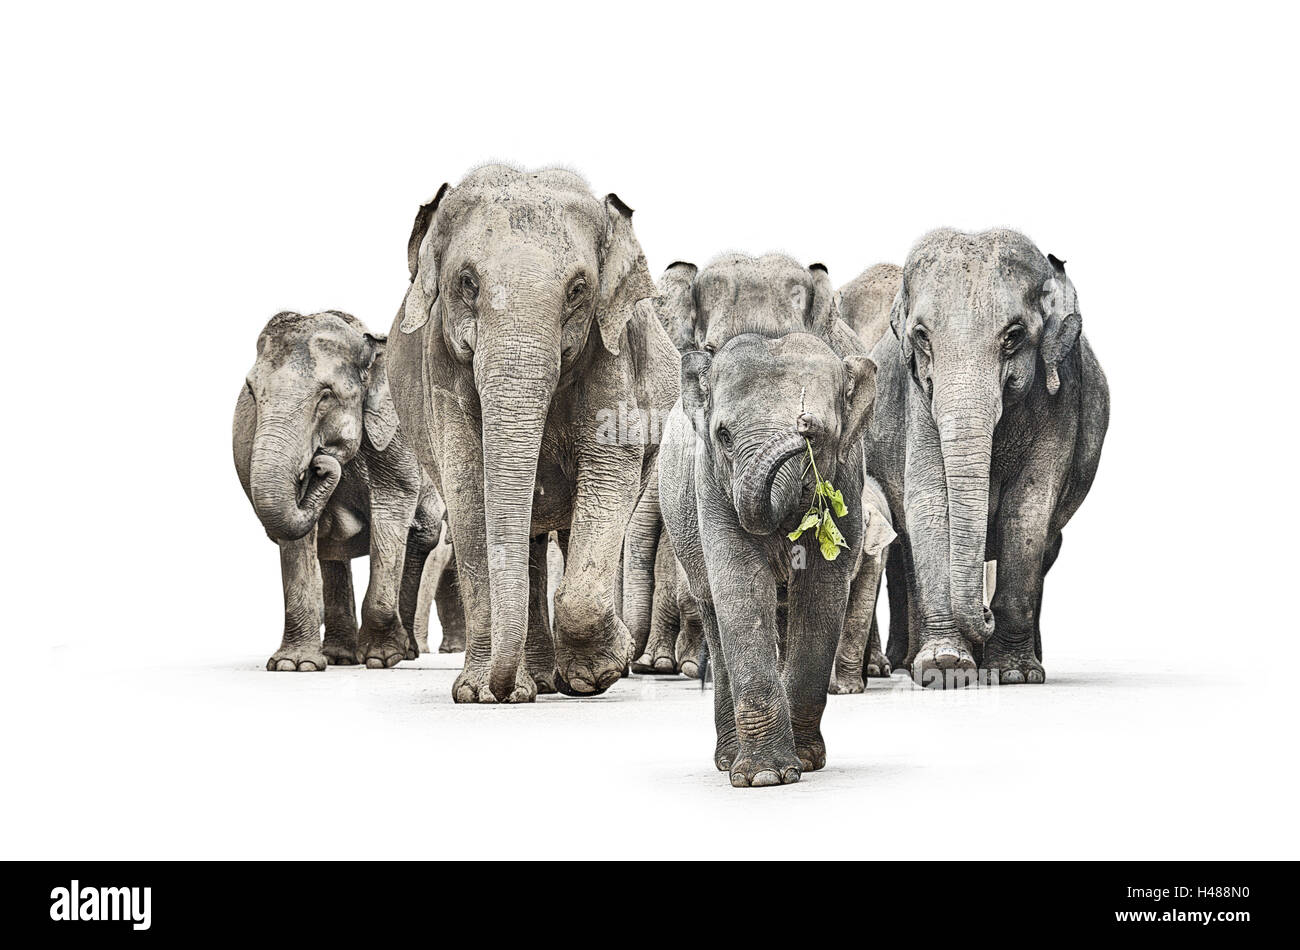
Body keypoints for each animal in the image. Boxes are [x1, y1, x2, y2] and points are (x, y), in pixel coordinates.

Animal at [226, 310, 444, 670]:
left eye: (325, 395)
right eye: (252, 394)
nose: (320, 464)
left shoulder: (396, 436)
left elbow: (393, 511)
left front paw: (382, 658)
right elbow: (300, 536)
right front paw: (294, 665)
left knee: (423, 534)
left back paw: (405, 652)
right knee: (333, 548)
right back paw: (341, 656)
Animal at [387, 163, 681, 701]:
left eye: (578, 289)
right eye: (467, 282)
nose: (500, 688)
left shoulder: (612, 355)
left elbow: (608, 473)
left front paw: (600, 672)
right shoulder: (441, 364)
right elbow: (469, 491)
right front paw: (480, 693)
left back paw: (560, 679)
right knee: (528, 541)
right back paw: (538, 682)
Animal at [660, 335, 883, 790]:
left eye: (820, 435)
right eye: (724, 436)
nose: (804, 424)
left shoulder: (848, 480)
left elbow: (820, 594)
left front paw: (806, 762)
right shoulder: (711, 484)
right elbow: (741, 586)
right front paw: (764, 777)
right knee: (713, 610)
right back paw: (728, 759)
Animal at [863, 230, 1107, 691]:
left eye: (1013, 335)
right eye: (921, 335)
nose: (985, 610)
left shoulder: (1061, 395)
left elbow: (1027, 511)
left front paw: (1013, 673)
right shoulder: (918, 398)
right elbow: (930, 504)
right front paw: (944, 668)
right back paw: (904, 664)